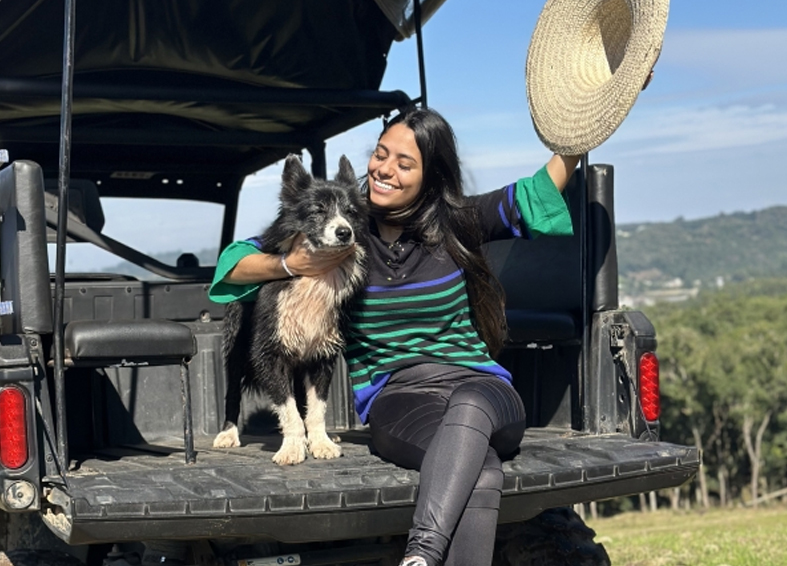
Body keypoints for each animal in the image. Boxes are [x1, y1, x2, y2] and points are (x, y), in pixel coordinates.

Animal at [213, 154, 368, 465]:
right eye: (318, 211)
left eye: (350, 211)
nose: (344, 232)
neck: (314, 278)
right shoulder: (268, 354)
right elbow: (289, 409)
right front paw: (293, 448)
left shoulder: (321, 353)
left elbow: (316, 407)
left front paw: (320, 443)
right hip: (237, 349)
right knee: (233, 391)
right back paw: (228, 433)